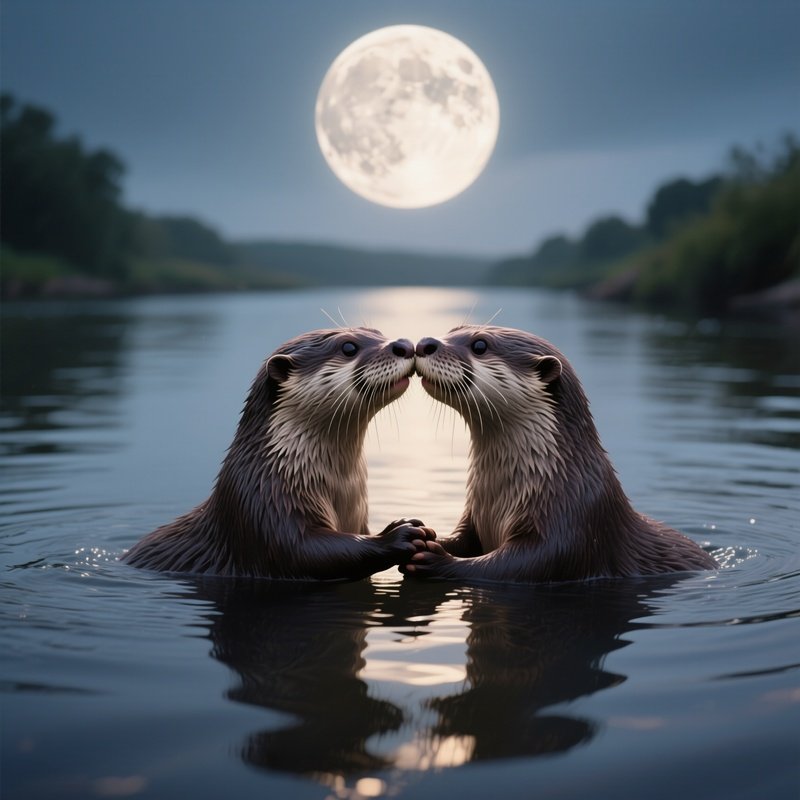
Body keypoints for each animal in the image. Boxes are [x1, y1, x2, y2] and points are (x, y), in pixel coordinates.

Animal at [123, 327, 434, 579]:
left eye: (378, 333)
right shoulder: (261, 508)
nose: (404, 344)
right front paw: (399, 536)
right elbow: (306, 553)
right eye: (348, 347)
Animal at [407, 325, 716, 582]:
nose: (425, 343)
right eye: (452, 331)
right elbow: (463, 539)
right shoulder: (474, 516)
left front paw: (437, 559)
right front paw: (413, 532)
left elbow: (521, 565)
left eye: (480, 345)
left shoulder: (573, 523)